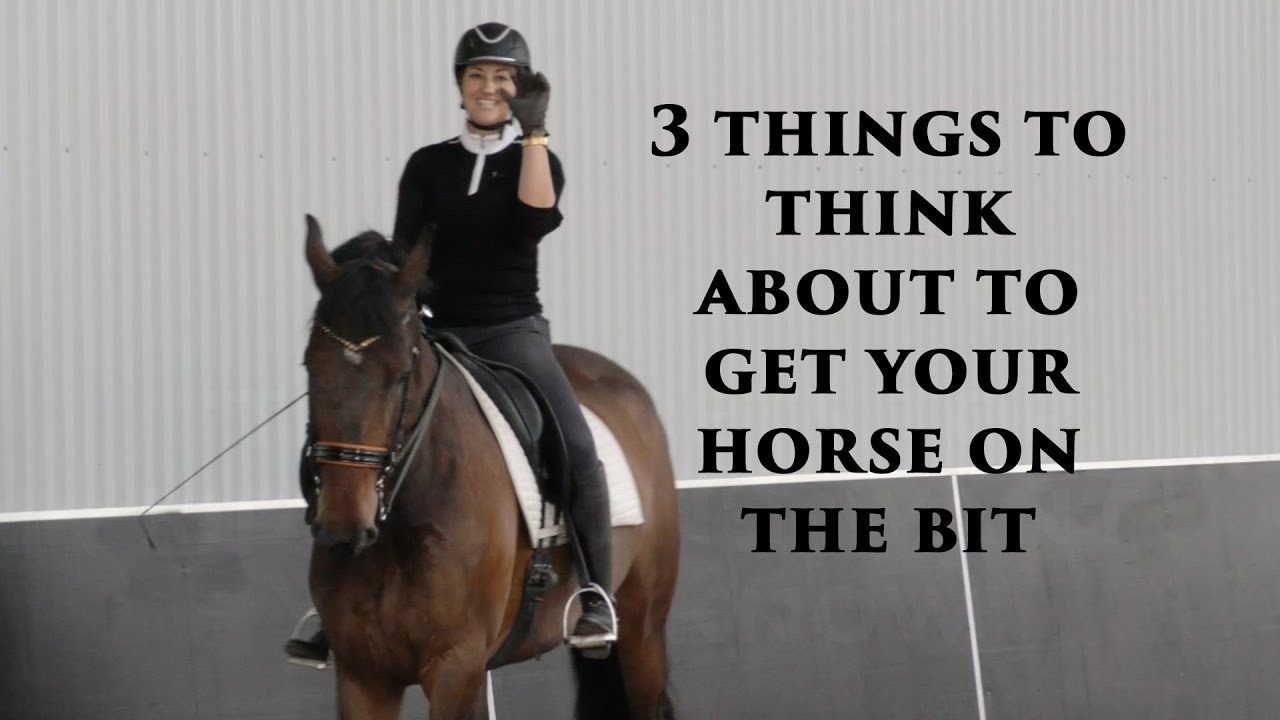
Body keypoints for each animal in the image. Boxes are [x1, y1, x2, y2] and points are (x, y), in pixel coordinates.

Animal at [298, 214, 681, 719]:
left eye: (401, 375)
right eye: (310, 368)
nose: (343, 527)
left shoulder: (455, 665)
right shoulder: (364, 675)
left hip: (642, 627)